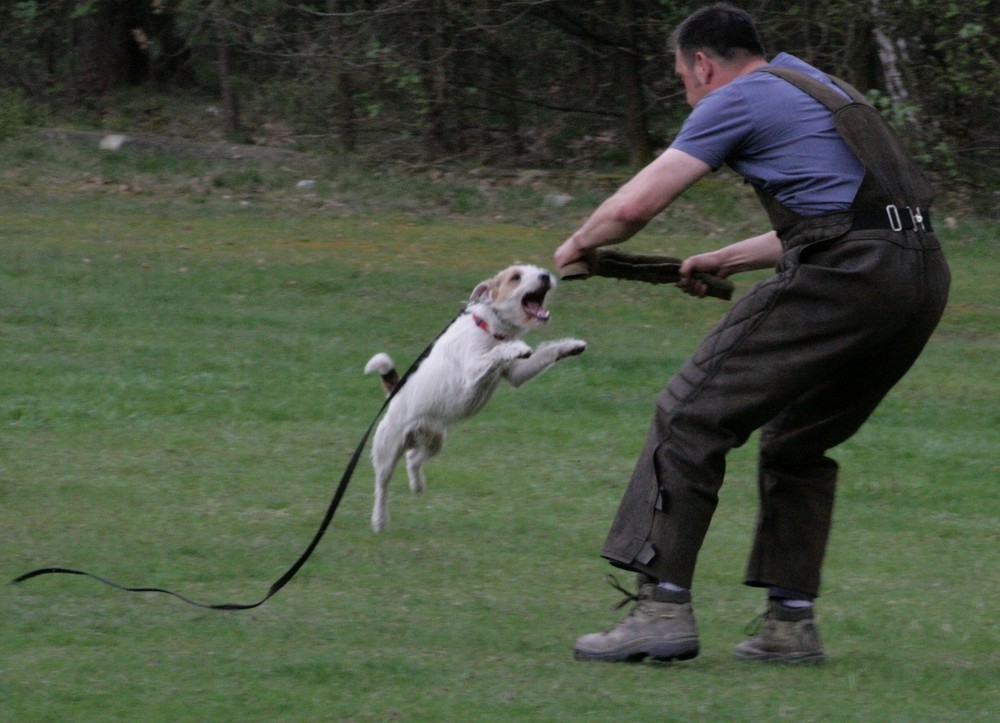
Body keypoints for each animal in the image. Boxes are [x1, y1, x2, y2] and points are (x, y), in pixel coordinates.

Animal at [366, 264, 584, 532]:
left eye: (535, 270)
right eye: (515, 277)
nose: (544, 275)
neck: (490, 328)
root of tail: (394, 394)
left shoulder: (516, 373)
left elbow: (546, 352)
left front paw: (571, 346)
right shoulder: (472, 371)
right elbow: (498, 352)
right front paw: (516, 347)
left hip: (435, 440)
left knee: (413, 459)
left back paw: (417, 485)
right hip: (387, 450)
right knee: (382, 485)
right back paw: (379, 520)